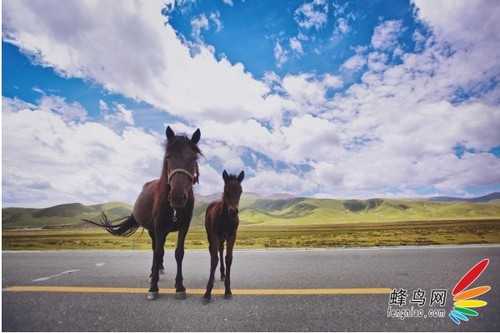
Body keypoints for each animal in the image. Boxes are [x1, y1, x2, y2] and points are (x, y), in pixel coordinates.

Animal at [83, 126, 200, 300]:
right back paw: (153, 272)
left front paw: (179, 286)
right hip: (153, 230)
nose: (178, 197)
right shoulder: (158, 227)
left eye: (193, 158)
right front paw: (153, 287)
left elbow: (179, 253)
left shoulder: (184, 226)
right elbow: (157, 252)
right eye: (168, 157)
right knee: (155, 249)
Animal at [201, 170, 244, 302]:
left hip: (222, 238)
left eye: (240, 191)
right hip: (211, 236)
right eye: (226, 190)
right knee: (213, 252)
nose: (233, 211)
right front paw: (208, 292)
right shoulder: (215, 235)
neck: (226, 219)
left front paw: (228, 290)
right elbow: (214, 259)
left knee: (220, 250)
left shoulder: (232, 236)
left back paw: (222, 274)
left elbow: (228, 258)